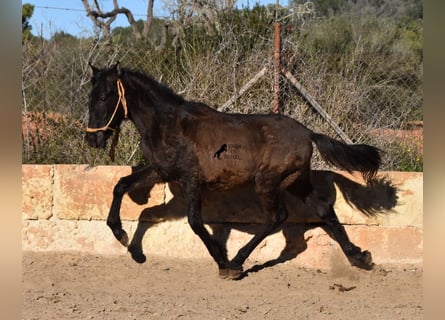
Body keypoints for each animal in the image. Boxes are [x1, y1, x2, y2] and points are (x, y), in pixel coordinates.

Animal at [86, 61, 382, 278]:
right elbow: (122, 185)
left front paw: (222, 260)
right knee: (323, 210)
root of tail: (309, 133)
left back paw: (238, 261)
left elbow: (195, 222)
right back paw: (359, 256)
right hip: (298, 182)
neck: (167, 124)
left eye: (104, 96)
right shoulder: (161, 171)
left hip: (268, 183)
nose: (93, 139)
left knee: (277, 217)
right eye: (91, 97)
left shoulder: (190, 179)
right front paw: (126, 241)